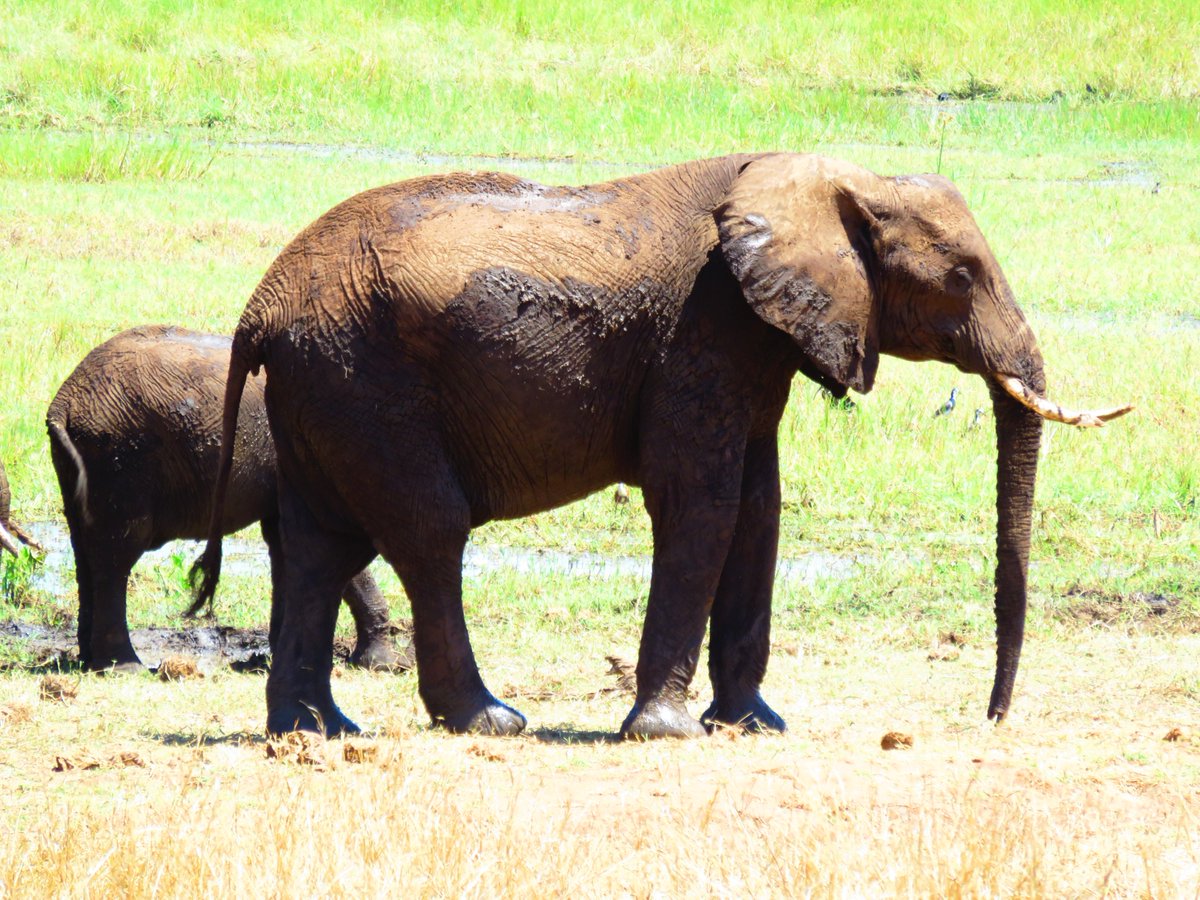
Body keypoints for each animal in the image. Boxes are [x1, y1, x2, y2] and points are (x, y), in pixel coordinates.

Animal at [46, 328, 415, 672]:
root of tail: (63, 404)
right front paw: (385, 665)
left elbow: (286, 541)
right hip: (120, 457)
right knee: (117, 553)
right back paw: (125, 667)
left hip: (86, 461)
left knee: (85, 552)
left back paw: (89, 661)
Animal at [192, 153, 1128, 739]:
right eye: (962, 276)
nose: (991, 718)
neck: (830, 177)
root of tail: (257, 309)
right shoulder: (705, 329)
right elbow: (701, 505)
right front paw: (669, 732)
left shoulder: (754, 342)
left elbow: (757, 510)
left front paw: (754, 727)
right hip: (367, 381)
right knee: (428, 531)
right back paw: (489, 719)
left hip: (325, 387)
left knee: (316, 546)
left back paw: (314, 729)